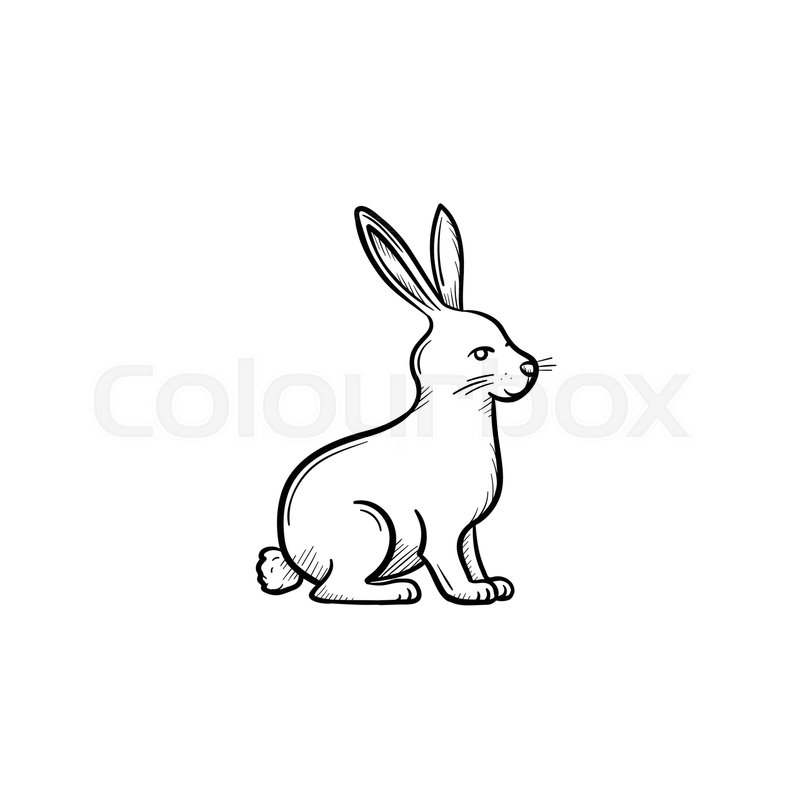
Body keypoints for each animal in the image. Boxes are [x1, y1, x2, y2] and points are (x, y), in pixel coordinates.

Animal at [257, 204, 549, 604]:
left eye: (508, 339)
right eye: (481, 353)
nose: (529, 367)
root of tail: (295, 557)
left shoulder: (468, 528)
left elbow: (472, 556)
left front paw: (494, 585)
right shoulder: (440, 523)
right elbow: (447, 560)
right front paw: (470, 593)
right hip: (371, 527)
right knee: (333, 590)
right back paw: (400, 590)